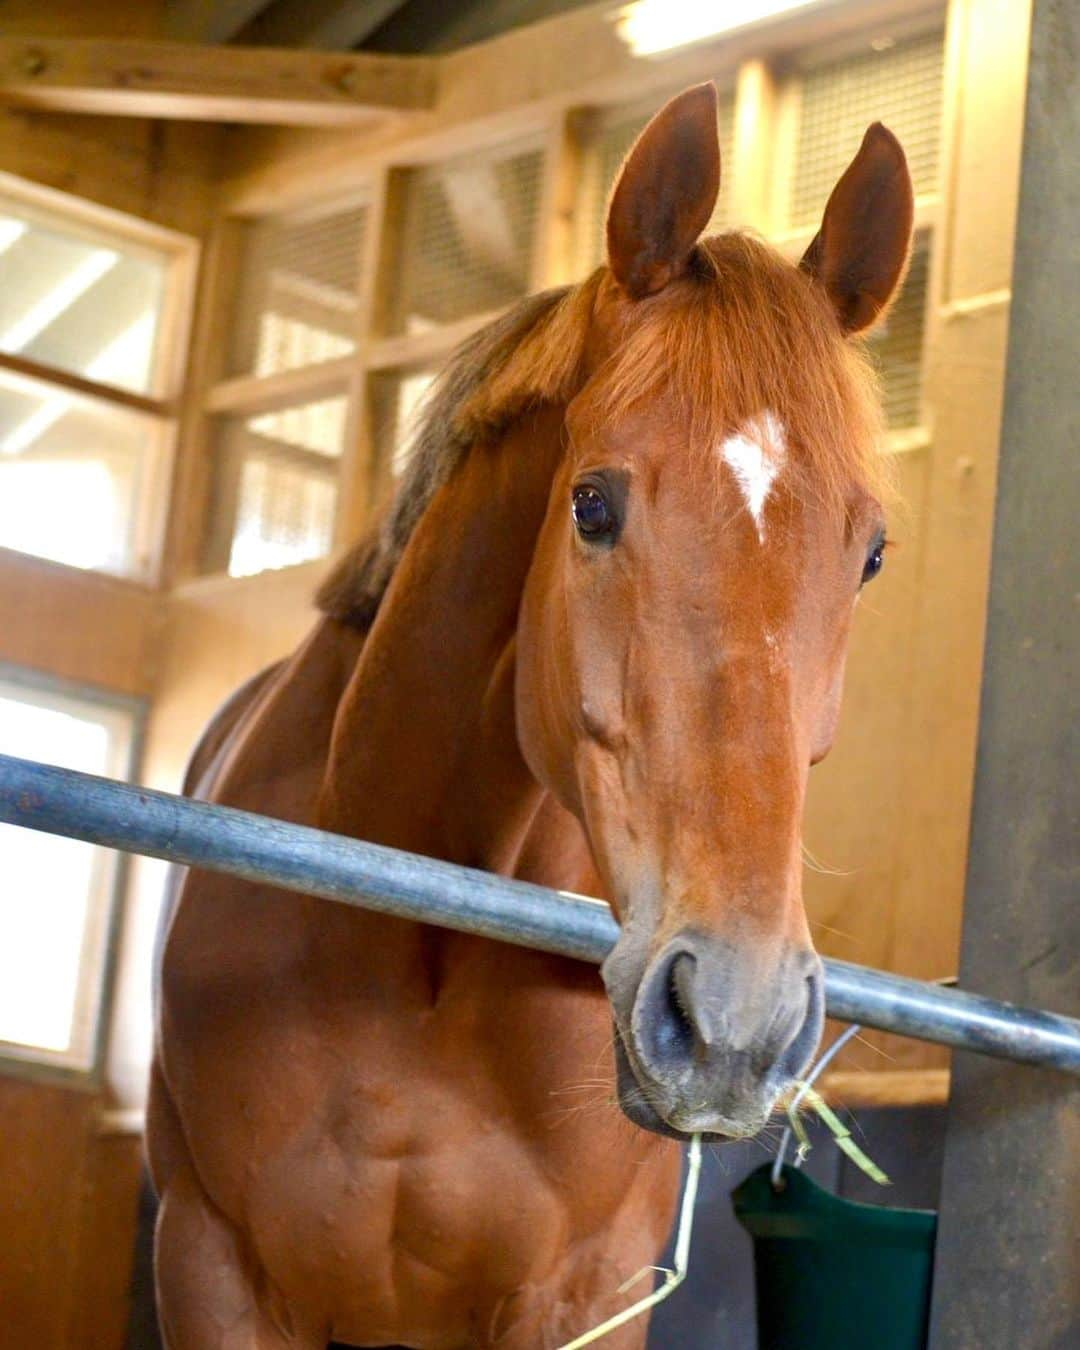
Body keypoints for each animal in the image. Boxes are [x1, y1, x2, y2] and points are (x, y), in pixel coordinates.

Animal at [149, 87, 912, 1350]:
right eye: (590, 504)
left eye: (873, 556)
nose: (735, 1019)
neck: (420, 949)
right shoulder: (213, 1265)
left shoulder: (584, 1291)